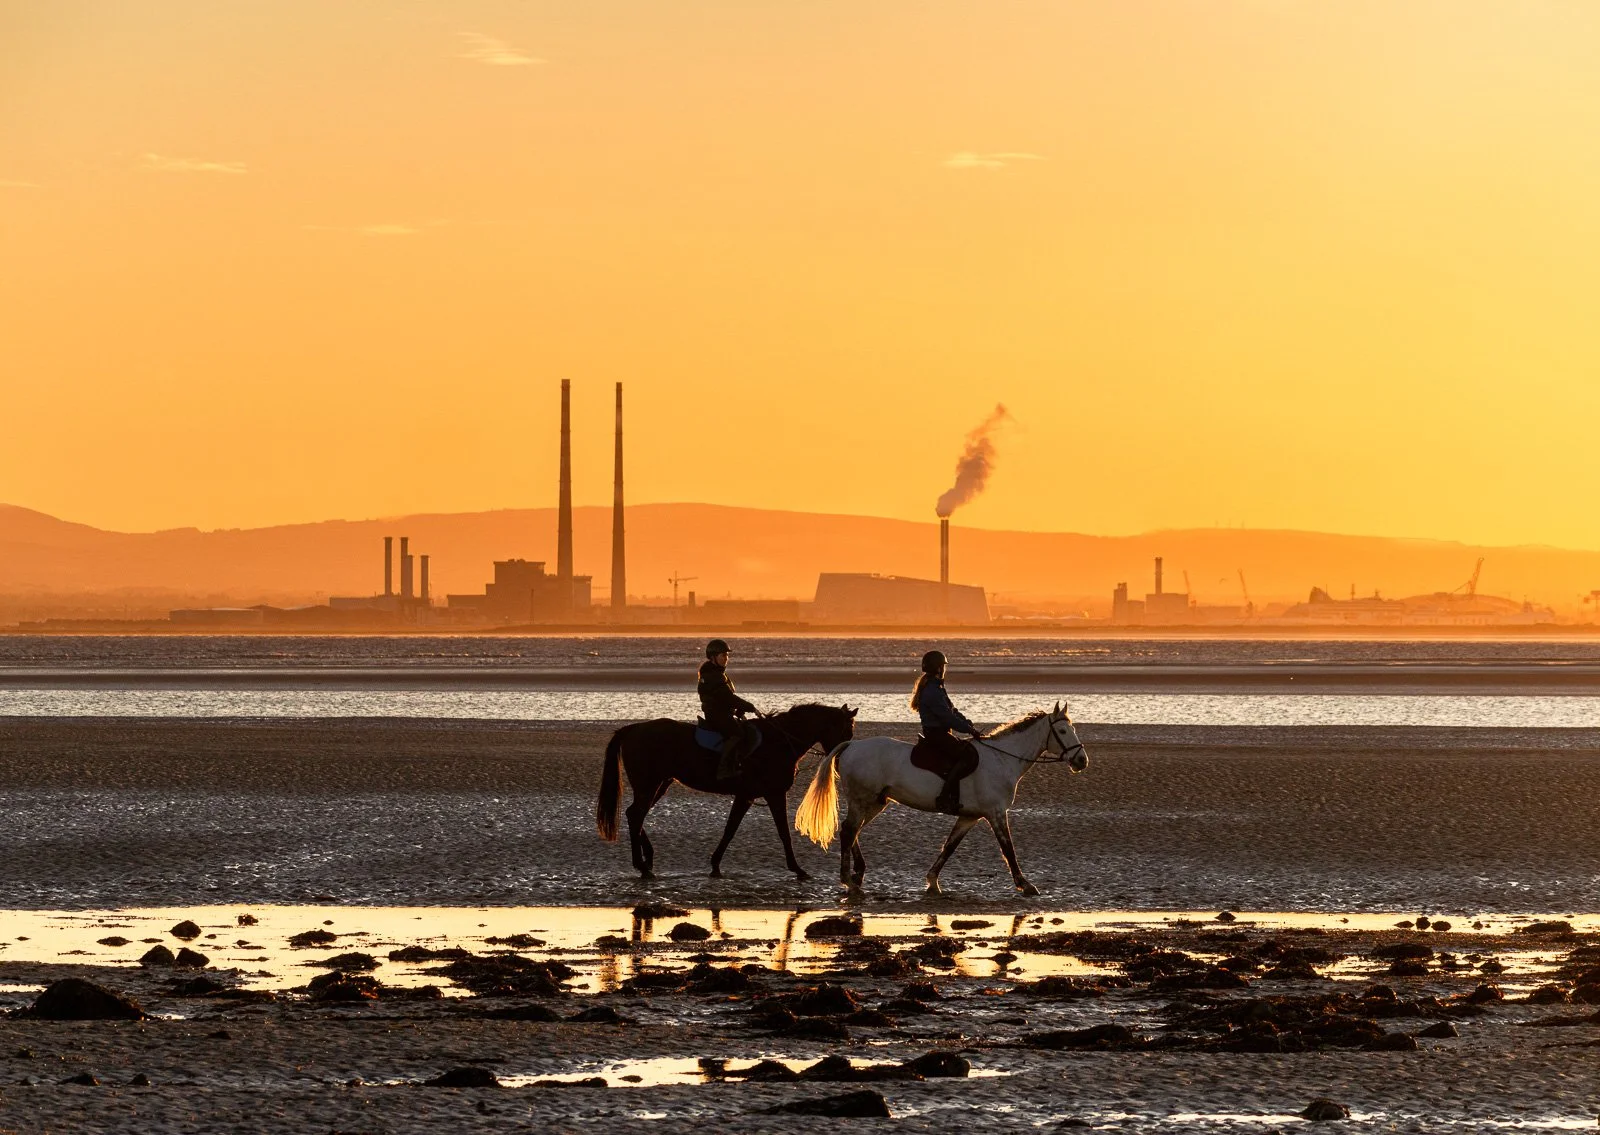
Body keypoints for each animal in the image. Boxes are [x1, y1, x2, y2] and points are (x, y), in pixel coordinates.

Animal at [596, 702, 858, 881]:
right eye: (846, 732)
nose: (841, 761)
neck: (778, 742)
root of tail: (633, 729)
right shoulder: (772, 794)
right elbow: (782, 833)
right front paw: (798, 869)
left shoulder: (747, 797)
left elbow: (730, 829)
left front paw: (715, 865)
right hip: (649, 785)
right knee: (636, 816)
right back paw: (642, 865)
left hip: (660, 784)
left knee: (634, 815)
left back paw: (647, 860)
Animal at [794, 702, 1087, 897]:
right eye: (1062, 732)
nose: (1082, 761)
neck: (1002, 759)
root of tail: (851, 745)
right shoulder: (995, 813)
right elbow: (1008, 849)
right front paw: (1025, 885)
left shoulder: (969, 816)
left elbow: (949, 847)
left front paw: (932, 881)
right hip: (862, 799)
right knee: (848, 831)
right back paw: (849, 880)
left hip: (876, 802)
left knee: (853, 831)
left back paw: (857, 874)